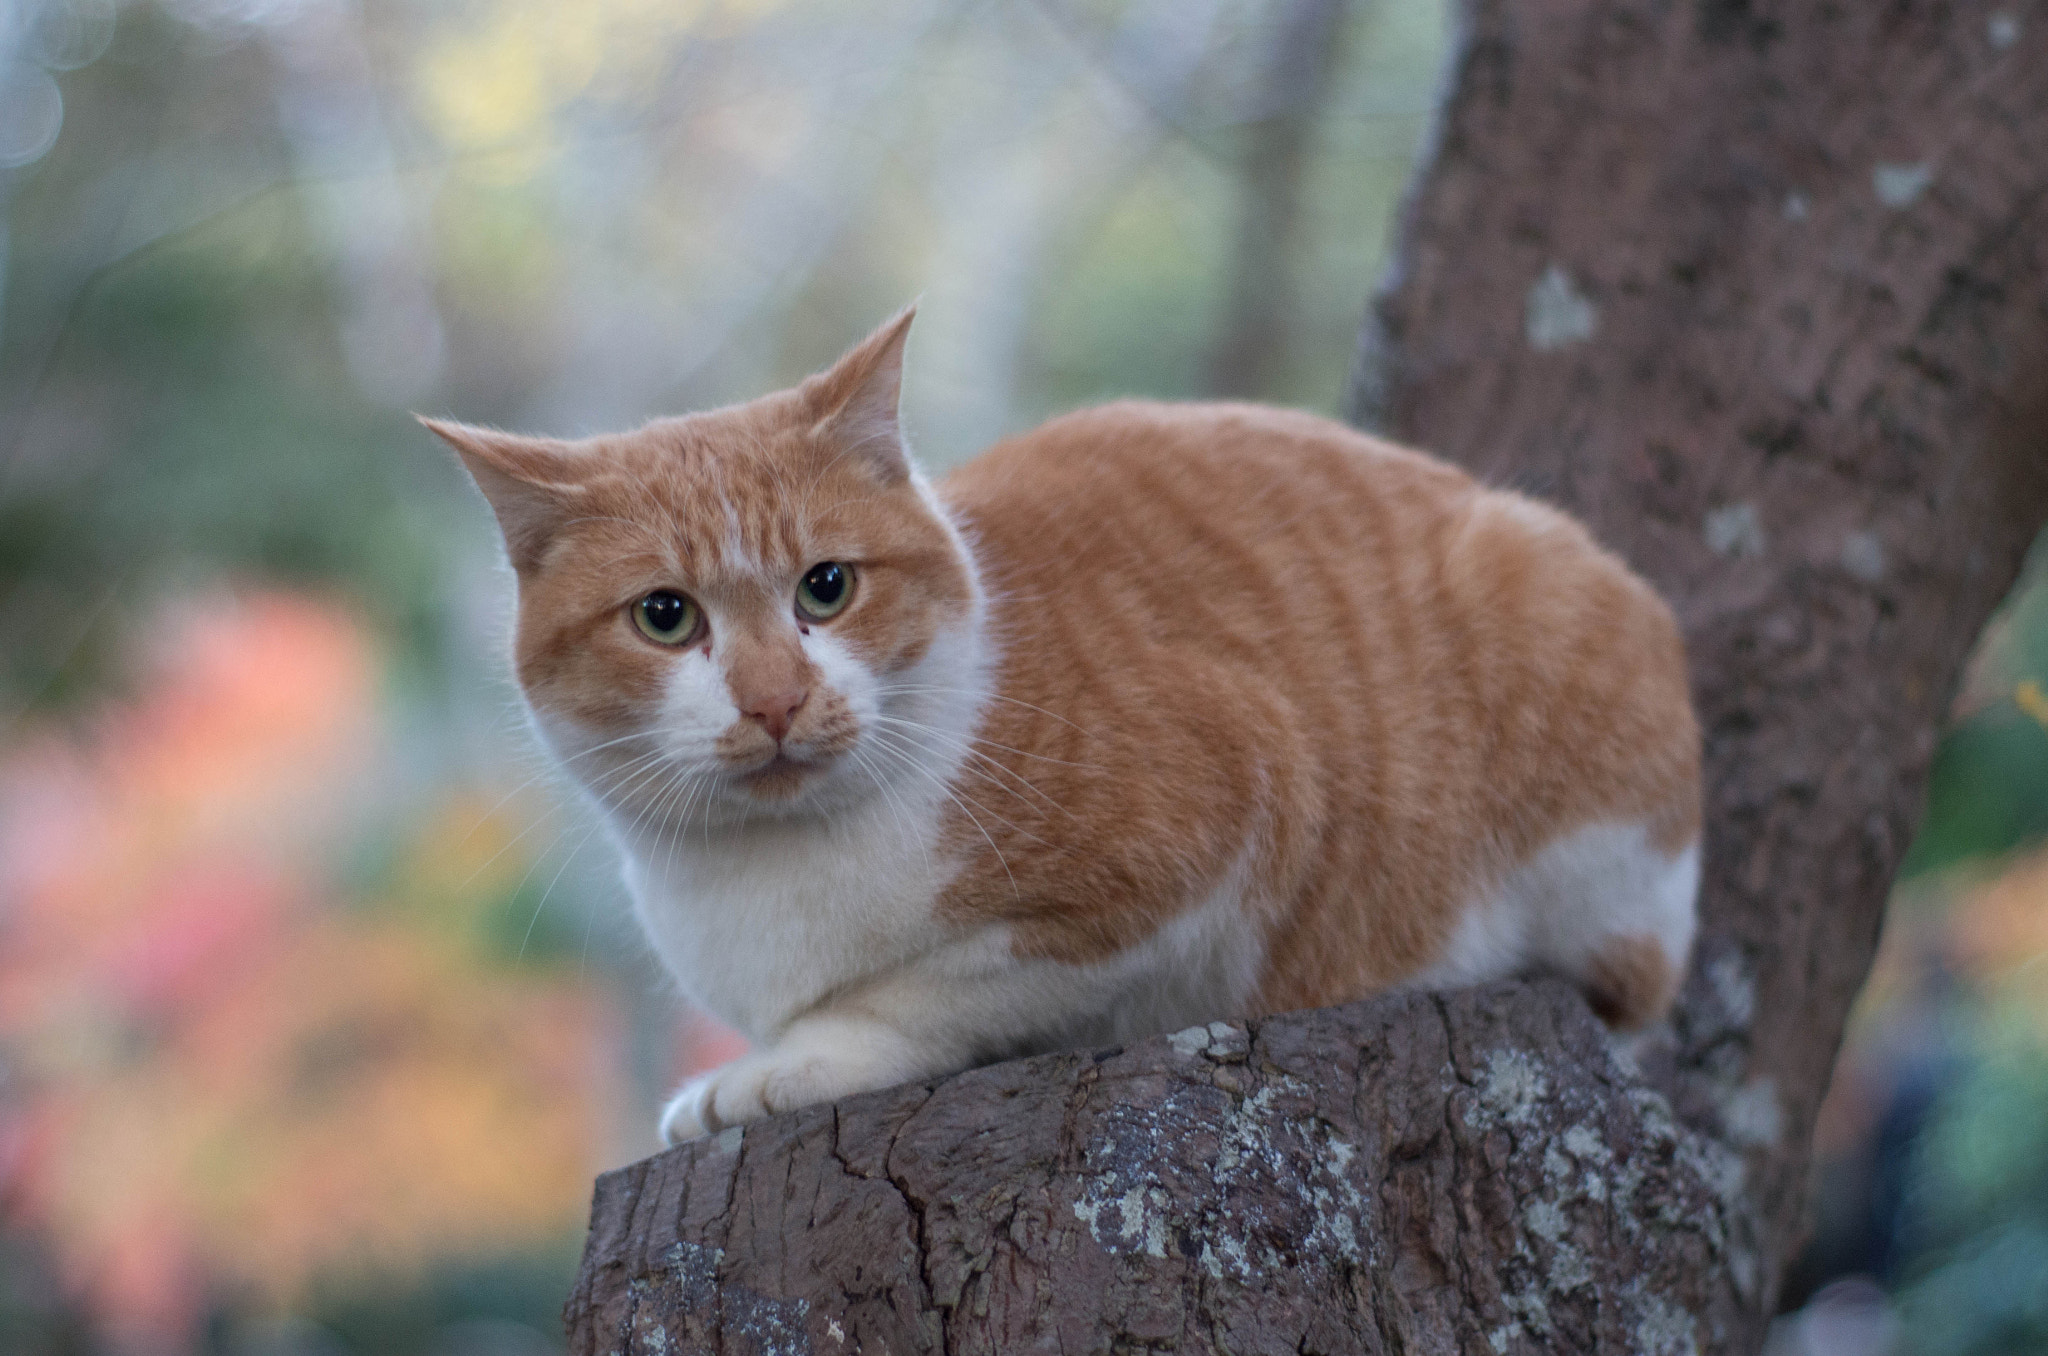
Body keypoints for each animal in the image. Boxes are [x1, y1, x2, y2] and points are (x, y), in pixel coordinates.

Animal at [428, 307, 1695, 1147]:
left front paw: (795, 1063)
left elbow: (930, 988)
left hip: (1542, 621)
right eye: (665, 617)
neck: (770, 874)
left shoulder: (1215, 826)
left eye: (825, 588)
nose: (774, 698)